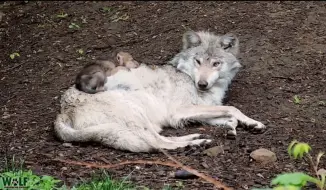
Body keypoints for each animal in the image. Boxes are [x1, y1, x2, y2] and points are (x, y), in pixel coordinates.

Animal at [54, 30, 266, 152]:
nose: (202, 84)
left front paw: (242, 125)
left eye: (216, 63)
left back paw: (195, 138)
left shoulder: (195, 112)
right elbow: (232, 109)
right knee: (156, 144)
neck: (187, 75)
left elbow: (229, 117)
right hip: (136, 114)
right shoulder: (180, 111)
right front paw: (249, 122)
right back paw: (194, 143)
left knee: (159, 139)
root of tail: (61, 111)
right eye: (198, 61)